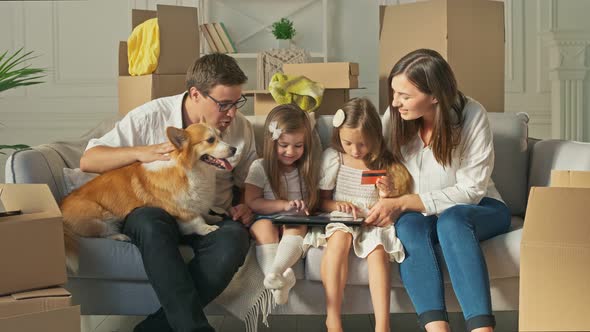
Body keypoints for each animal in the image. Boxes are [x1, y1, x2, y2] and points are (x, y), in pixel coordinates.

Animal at [60, 123, 236, 274]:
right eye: (210, 140)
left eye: (220, 135)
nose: (234, 149)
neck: (187, 169)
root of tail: (60, 210)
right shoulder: (181, 208)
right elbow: (195, 220)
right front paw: (207, 228)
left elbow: (201, 212)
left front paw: (212, 218)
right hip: (99, 215)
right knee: (99, 233)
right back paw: (119, 236)